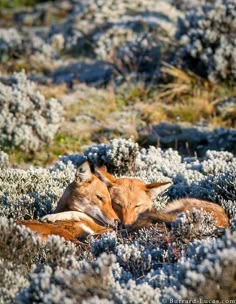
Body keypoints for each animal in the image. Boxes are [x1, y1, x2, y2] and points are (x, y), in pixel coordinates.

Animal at [17, 160, 230, 241]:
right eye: (116, 204)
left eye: (137, 206)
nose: (122, 224)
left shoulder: (105, 228)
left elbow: (76, 213)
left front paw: (51, 217)